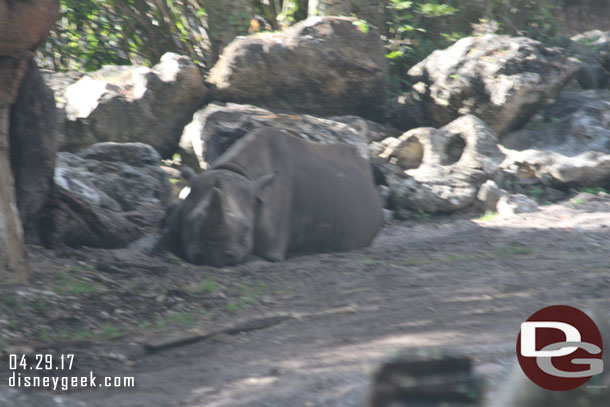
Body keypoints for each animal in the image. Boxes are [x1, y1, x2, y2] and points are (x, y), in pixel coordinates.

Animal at [159, 128, 382, 268]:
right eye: (190, 224)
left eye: (246, 232)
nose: (213, 256)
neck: (235, 172)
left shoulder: (271, 249)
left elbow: (256, 257)